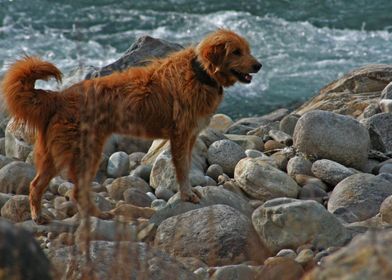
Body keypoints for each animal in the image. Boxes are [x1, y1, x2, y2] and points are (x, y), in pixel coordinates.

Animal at [3, 29, 262, 224]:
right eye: (236, 52)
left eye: (247, 49)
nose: (259, 65)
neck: (200, 73)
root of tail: (59, 97)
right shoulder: (181, 136)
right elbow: (182, 170)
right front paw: (187, 195)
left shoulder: (189, 138)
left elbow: (186, 167)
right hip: (81, 152)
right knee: (66, 189)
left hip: (58, 154)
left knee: (40, 185)